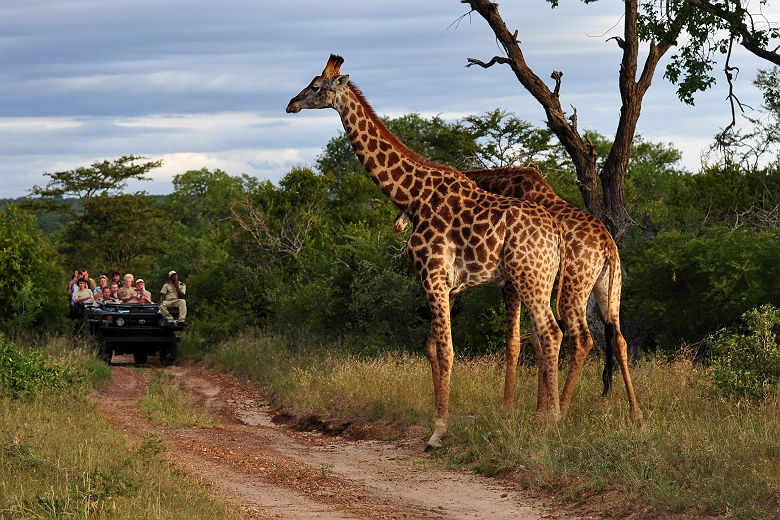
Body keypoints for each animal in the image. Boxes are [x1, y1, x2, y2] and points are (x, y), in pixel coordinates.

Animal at [286, 54, 568, 448]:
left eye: (315, 87)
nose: (291, 104)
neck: (412, 196)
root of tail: (556, 232)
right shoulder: (441, 283)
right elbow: (433, 349)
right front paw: (436, 424)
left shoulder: (433, 276)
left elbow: (447, 351)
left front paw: (438, 433)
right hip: (534, 281)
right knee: (543, 338)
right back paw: (543, 417)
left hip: (531, 279)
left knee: (551, 334)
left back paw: (551, 423)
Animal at [394, 168, 644, 422]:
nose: (398, 225)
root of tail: (607, 245)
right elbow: (537, 341)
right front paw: (540, 410)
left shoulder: (515, 283)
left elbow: (524, 340)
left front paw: (526, 409)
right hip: (609, 288)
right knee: (619, 338)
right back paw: (635, 412)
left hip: (573, 288)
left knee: (582, 339)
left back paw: (563, 408)